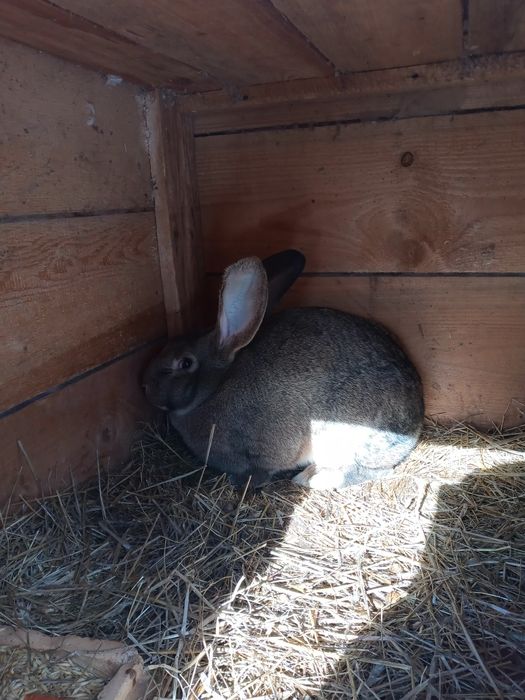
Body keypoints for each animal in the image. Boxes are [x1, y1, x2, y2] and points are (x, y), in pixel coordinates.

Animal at [141, 249, 424, 490]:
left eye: (184, 363)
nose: (145, 386)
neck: (215, 389)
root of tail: (415, 426)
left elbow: (259, 470)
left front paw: (243, 482)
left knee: (369, 469)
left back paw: (313, 479)